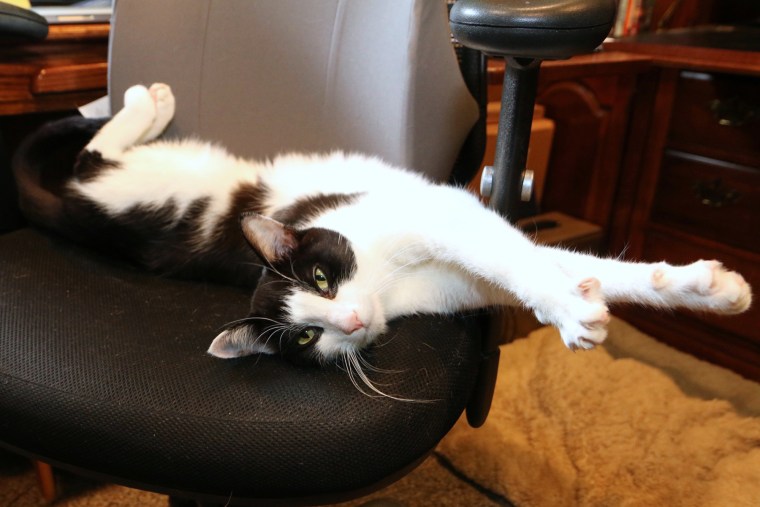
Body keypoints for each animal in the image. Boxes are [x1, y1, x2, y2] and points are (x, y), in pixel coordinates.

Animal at [14, 82, 752, 370]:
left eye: (321, 276)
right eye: (306, 336)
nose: (349, 320)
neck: (390, 284)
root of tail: (71, 213)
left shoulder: (448, 216)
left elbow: (536, 259)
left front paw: (700, 289)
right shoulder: (457, 270)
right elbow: (541, 267)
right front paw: (580, 306)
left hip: (143, 182)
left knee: (89, 153)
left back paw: (139, 100)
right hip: (122, 194)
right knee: (86, 158)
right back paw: (137, 102)